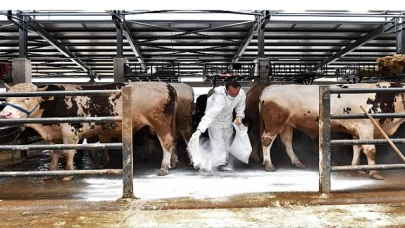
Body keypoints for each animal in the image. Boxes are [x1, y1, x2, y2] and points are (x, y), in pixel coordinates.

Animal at [0, 82, 177, 180]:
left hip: (160, 123)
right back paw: (173, 163)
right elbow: (53, 154)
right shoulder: (55, 135)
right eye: (7, 98)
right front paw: (50, 173)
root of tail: (166, 85)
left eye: (27, 97)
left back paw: (163, 168)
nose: (5, 114)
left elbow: (67, 153)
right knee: (173, 141)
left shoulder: (70, 132)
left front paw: (67, 175)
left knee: (167, 142)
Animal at [258, 82, 404, 180]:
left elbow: (357, 148)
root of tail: (270, 87)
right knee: (266, 140)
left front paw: (357, 168)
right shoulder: (366, 126)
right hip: (273, 123)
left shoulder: (357, 130)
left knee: (287, 142)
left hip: (286, 125)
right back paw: (269, 165)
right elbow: (370, 150)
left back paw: (297, 162)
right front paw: (375, 172)